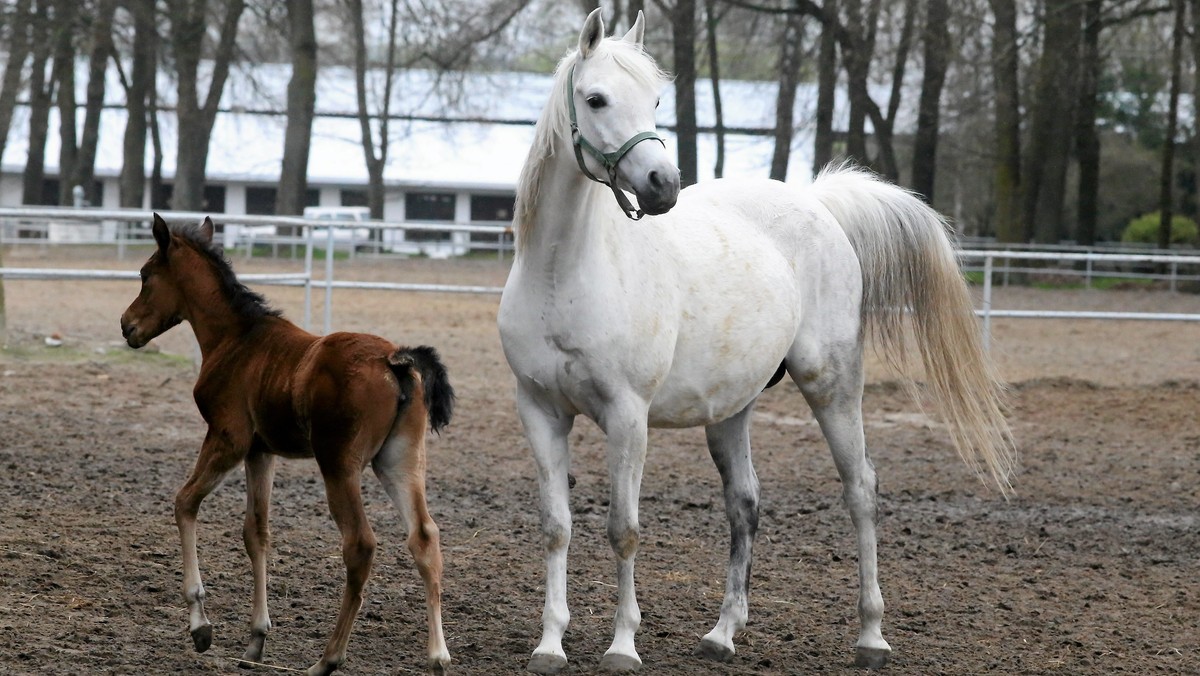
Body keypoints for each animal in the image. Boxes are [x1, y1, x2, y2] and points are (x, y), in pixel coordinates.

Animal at [120, 216, 453, 676]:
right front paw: (255, 639)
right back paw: (438, 655)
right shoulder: (261, 452)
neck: (236, 339)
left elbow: (184, 503)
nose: (126, 326)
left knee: (360, 545)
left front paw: (201, 626)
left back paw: (327, 659)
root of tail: (394, 361)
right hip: (399, 462)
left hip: (338, 463)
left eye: (145, 275)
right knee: (423, 537)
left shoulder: (227, 438)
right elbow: (256, 532)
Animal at [496, 7, 1012, 672]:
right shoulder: (540, 411)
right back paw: (722, 632)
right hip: (731, 409)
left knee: (861, 490)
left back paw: (871, 634)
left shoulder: (627, 416)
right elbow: (555, 525)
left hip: (832, 386)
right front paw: (550, 643)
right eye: (596, 98)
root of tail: (817, 204)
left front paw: (623, 646)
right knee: (744, 504)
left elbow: (623, 529)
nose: (662, 184)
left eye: (656, 98)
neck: (566, 273)